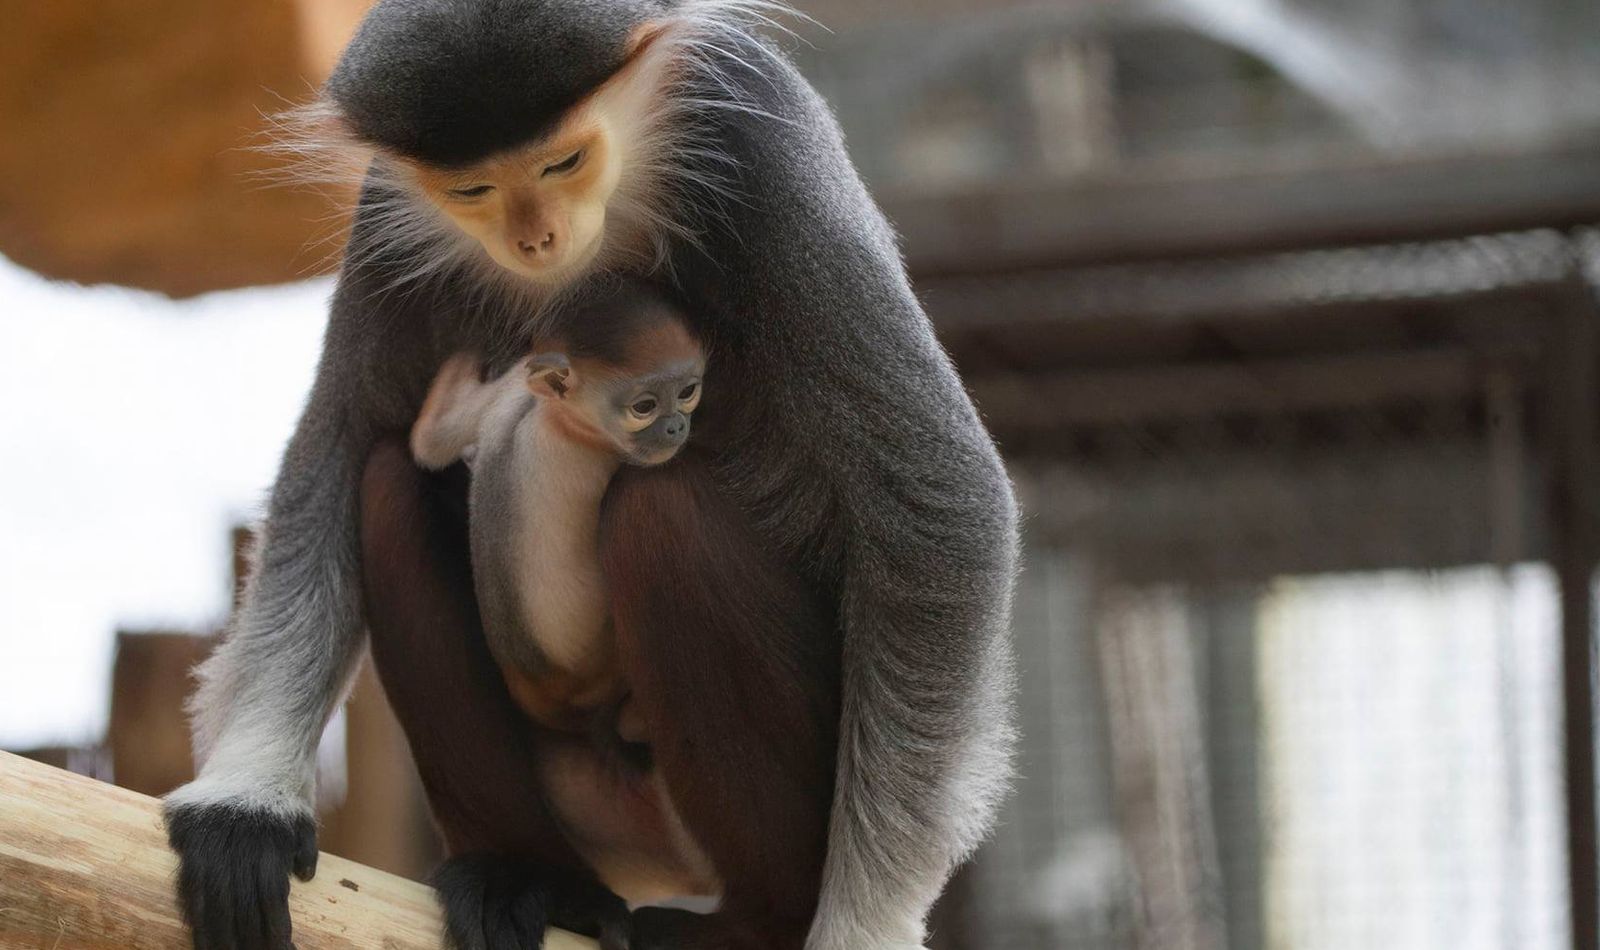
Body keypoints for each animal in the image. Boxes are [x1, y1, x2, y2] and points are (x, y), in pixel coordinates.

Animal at [416, 281, 704, 732]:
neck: (555, 414)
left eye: (687, 392)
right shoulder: (605, 453)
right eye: (644, 407)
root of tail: (534, 688)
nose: (676, 426)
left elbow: (428, 443)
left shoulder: (516, 383)